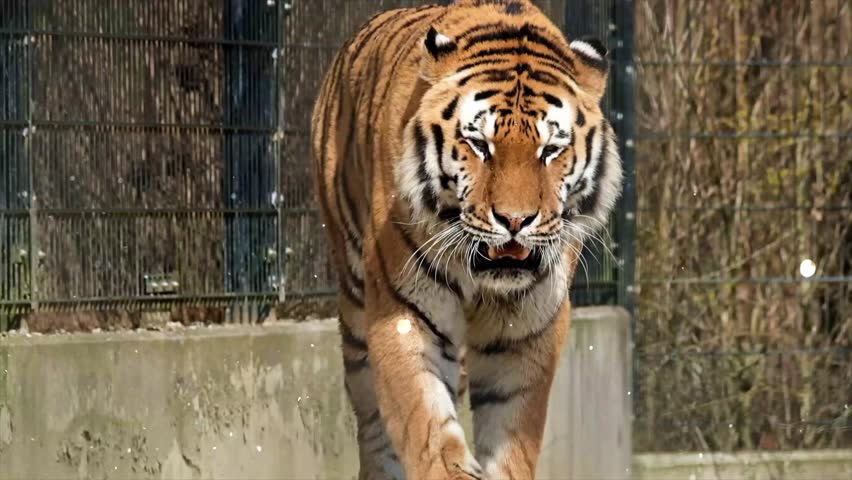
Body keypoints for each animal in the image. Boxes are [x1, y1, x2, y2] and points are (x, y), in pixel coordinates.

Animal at [310, 0, 622, 478]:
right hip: (357, 305)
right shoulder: (405, 314)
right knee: (372, 420)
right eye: (479, 144)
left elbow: (512, 435)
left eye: (551, 150)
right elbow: (428, 427)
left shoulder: (527, 331)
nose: (515, 220)